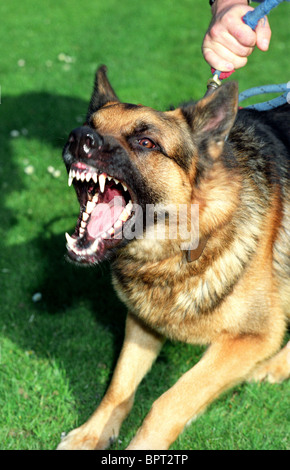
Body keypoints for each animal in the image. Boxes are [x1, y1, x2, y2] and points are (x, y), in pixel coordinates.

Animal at [57, 64, 290, 450]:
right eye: (91, 123)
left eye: (145, 142)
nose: (79, 137)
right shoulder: (142, 322)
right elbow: (118, 388)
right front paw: (90, 434)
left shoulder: (253, 338)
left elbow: (170, 401)